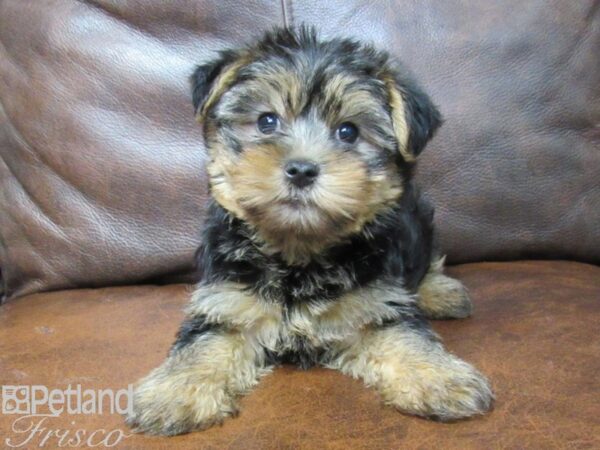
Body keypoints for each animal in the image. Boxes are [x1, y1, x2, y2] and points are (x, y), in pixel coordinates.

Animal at [125, 26, 492, 434]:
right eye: (267, 121)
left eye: (348, 132)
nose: (301, 169)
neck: (299, 253)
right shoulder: (226, 301)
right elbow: (203, 343)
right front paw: (173, 392)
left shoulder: (376, 301)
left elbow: (404, 336)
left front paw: (441, 378)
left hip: (419, 219)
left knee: (427, 258)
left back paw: (442, 293)